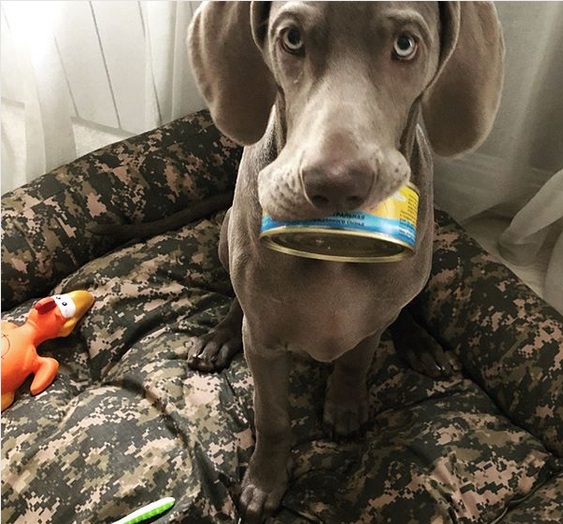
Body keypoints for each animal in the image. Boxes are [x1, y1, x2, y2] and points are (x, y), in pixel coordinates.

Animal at [187, 2, 504, 520]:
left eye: (405, 44)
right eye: (291, 38)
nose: (335, 184)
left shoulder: (370, 320)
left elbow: (356, 360)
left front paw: (345, 406)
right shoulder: (265, 342)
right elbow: (272, 416)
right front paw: (264, 480)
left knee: (404, 309)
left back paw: (419, 342)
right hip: (227, 233)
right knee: (236, 297)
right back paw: (218, 336)